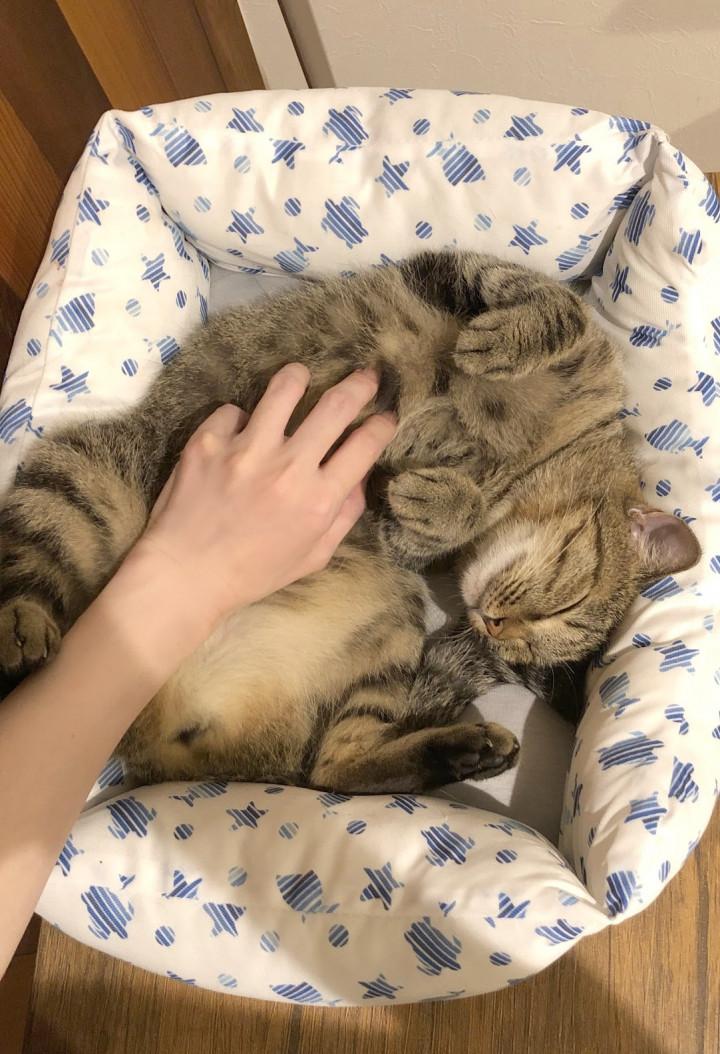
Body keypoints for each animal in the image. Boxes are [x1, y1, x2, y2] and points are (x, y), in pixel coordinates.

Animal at [0, 251, 699, 793]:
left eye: (525, 653)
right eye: (568, 603)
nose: (493, 627)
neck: (532, 455)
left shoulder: (404, 549)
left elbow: (429, 516)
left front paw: (446, 498)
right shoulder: (456, 272)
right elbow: (557, 306)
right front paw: (502, 344)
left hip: (391, 630)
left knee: (335, 769)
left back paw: (467, 750)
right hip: (83, 469)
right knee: (30, 575)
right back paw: (21, 633)